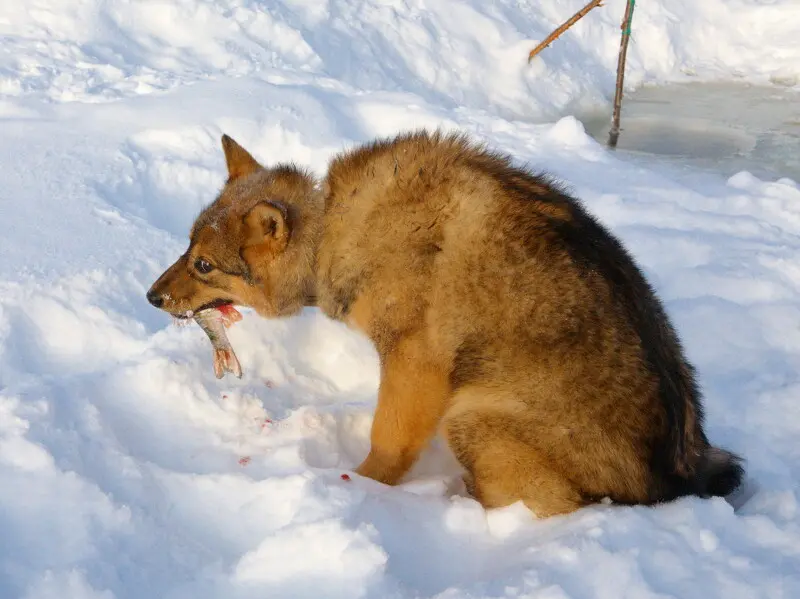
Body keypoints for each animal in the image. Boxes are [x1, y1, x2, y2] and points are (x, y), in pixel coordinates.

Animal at [147, 129, 740, 516]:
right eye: (187, 248)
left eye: (204, 265)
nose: (151, 296)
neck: (332, 226)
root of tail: (674, 481)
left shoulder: (415, 363)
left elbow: (387, 444)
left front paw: (361, 491)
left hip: (471, 418)